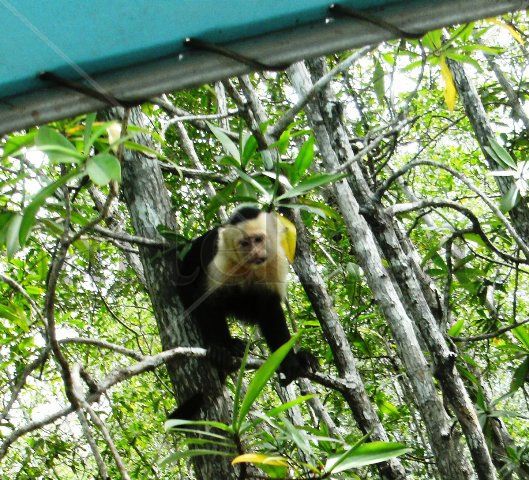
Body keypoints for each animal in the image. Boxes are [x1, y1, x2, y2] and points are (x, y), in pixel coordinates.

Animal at [171, 206, 316, 420]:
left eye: (258, 240)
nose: (255, 253)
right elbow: (207, 300)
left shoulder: (275, 260)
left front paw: (291, 361)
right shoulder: (222, 257)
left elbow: (270, 310)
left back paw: (304, 358)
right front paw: (220, 348)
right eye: (245, 243)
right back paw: (231, 347)